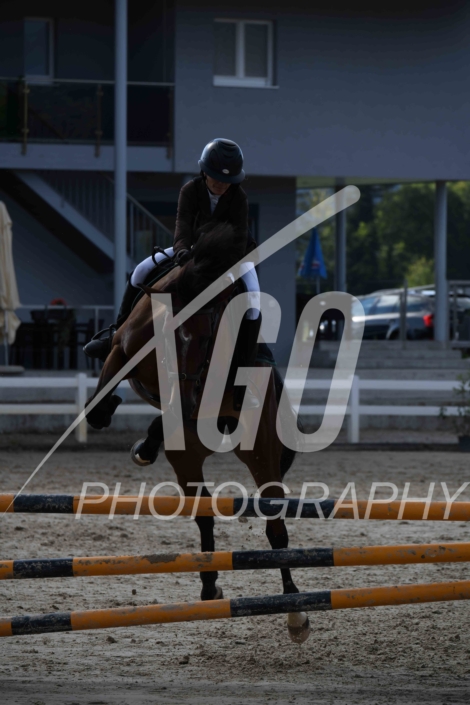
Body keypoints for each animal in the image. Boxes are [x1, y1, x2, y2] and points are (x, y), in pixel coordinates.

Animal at [85, 223, 310, 642]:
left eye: (209, 339)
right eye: (174, 333)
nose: (188, 400)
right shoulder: (123, 350)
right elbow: (105, 389)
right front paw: (109, 412)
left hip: (261, 451)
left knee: (276, 528)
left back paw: (295, 611)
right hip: (187, 458)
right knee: (204, 512)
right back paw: (209, 585)